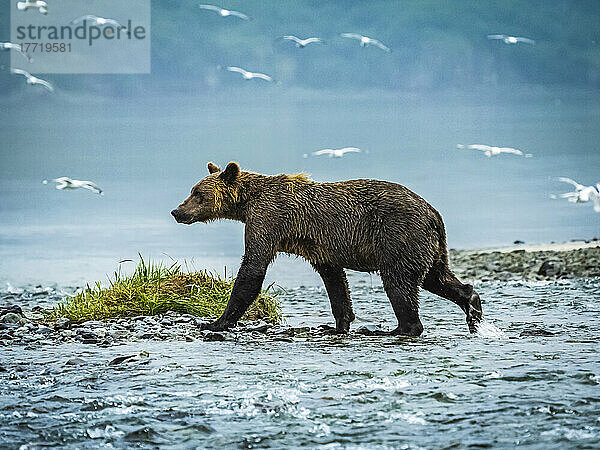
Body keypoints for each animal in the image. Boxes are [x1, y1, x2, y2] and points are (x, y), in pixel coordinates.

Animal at [172, 162, 482, 334]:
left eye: (198, 193)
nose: (177, 211)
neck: (247, 203)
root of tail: (433, 211)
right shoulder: (318, 245)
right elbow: (334, 280)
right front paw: (337, 324)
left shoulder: (268, 218)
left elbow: (253, 267)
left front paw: (215, 322)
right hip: (428, 245)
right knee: (437, 277)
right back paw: (473, 307)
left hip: (398, 235)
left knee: (399, 284)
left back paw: (396, 329)